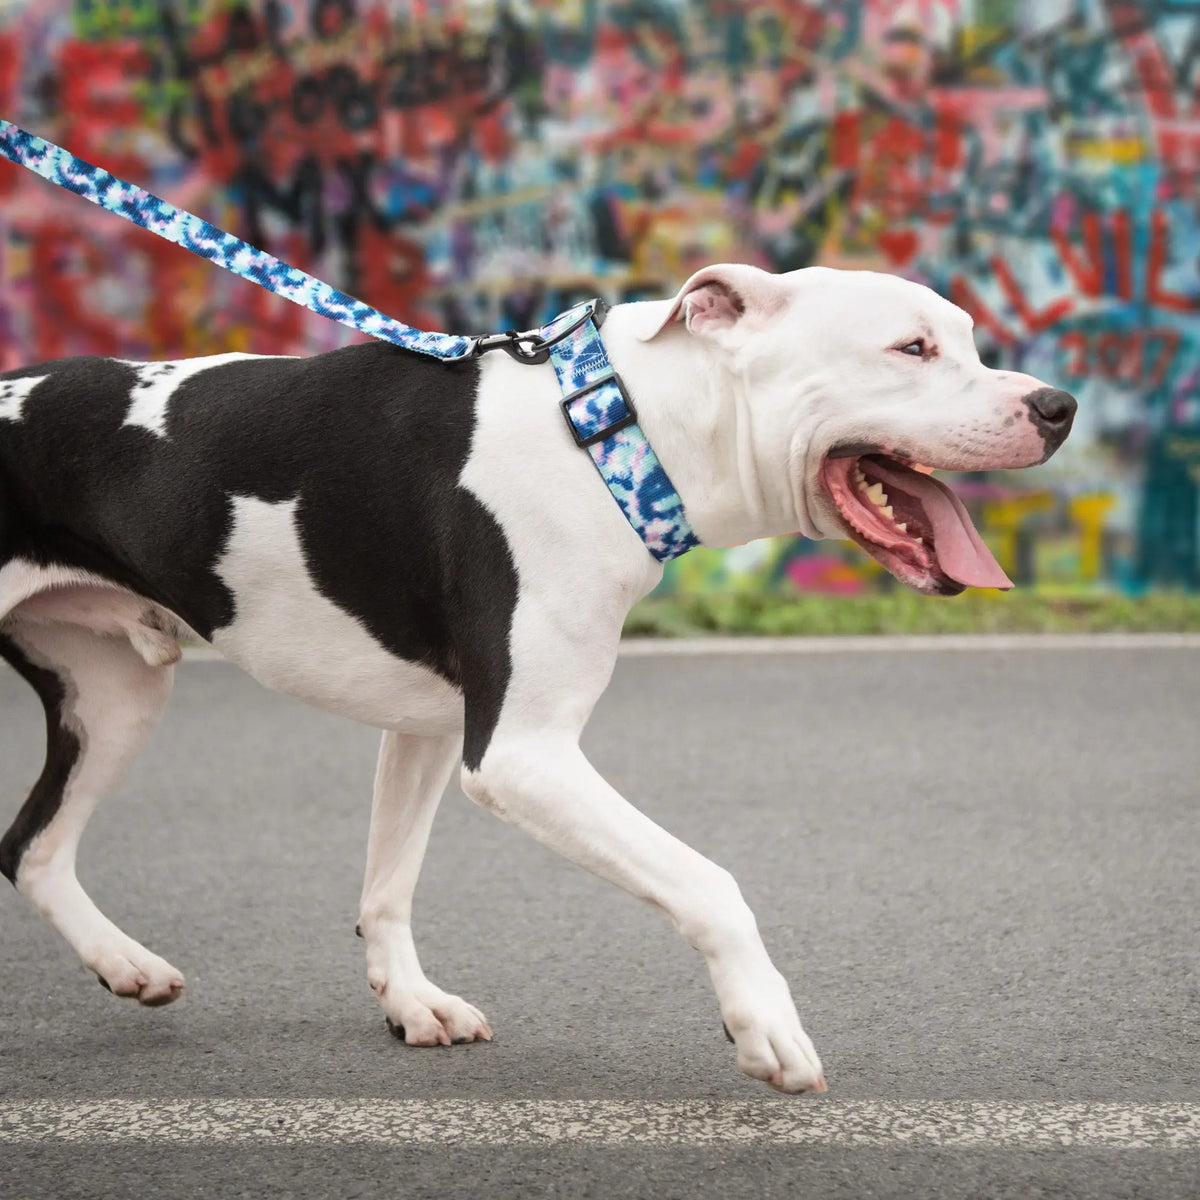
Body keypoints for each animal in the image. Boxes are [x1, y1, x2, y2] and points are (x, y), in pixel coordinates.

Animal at [0, 267, 1070, 1094]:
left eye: (969, 342)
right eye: (912, 348)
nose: (1057, 407)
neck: (612, 429)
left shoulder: (431, 729)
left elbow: (389, 882)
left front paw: (411, 1002)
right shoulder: (522, 754)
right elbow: (710, 881)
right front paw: (764, 1025)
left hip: (117, 694)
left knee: (35, 850)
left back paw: (127, 965)